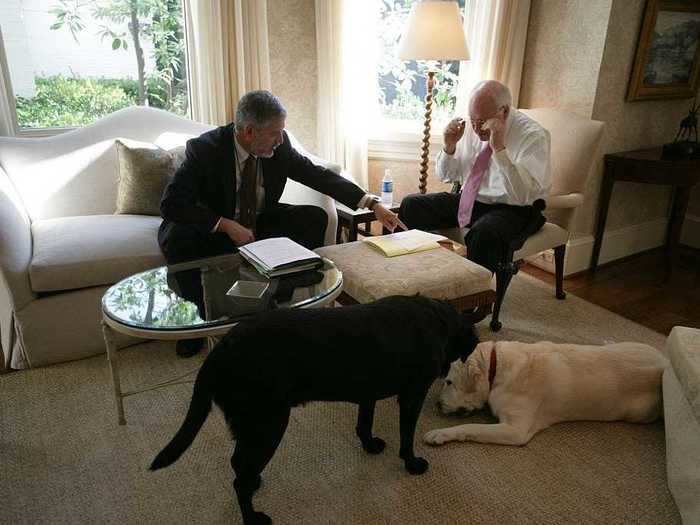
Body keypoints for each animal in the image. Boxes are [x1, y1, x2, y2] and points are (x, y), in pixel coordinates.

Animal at [148, 294, 476, 524]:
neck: (436, 318)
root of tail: (218, 352)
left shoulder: (367, 392)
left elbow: (364, 422)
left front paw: (369, 445)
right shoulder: (412, 395)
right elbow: (406, 437)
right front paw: (412, 463)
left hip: (253, 424)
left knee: (239, 464)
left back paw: (255, 483)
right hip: (269, 422)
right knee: (239, 476)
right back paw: (253, 517)